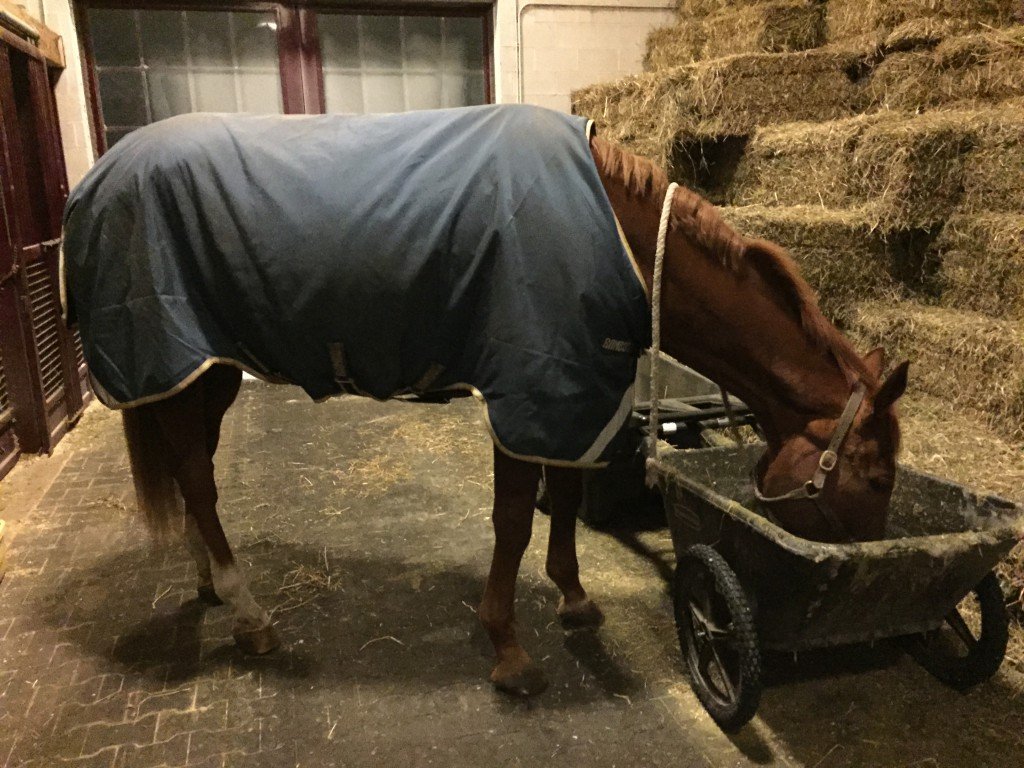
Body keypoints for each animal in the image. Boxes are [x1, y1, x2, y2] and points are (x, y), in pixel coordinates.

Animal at [101, 134, 905, 704]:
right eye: (875, 476)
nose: (865, 574)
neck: (611, 230)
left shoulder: (574, 394)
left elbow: (567, 498)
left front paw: (574, 598)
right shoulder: (528, 391)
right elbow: (514, 520)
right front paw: (510, 653)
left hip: (204, 375)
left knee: (192, 474)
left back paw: (211, 582)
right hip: (181, 371)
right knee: (198, 483)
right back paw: (249, 616)